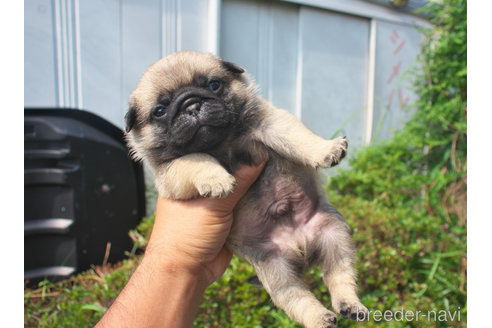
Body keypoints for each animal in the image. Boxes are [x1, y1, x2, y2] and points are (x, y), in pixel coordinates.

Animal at [125, 51, 368, 328]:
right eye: (160, 110)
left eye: (214, 85)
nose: (191, 105)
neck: (221, 143)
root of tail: (301, 247)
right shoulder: (170, 173)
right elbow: (196, 158)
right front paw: (217, 179)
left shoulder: (270, 122)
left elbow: (298, 137)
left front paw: (326, 149)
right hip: (275, 268)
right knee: (294, 296)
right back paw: (319, 317)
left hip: (334, 234)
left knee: (340, 273)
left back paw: (349, 305)